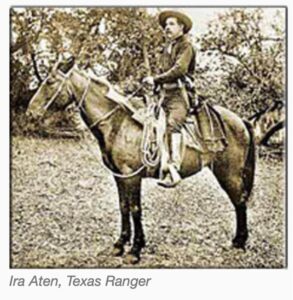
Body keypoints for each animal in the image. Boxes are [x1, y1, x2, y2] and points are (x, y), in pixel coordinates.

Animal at [26, 59, 256, 264]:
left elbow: (136, 209)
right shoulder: (119, 176)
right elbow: (123, 207)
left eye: (50, 82)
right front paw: (120, 244)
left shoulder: (132, 176)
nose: (31, 112)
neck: (118, 123)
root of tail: (241, 120)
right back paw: (239, 241)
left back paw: (239, 242)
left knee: (239, 201)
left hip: (228, 173)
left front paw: (135, 249)